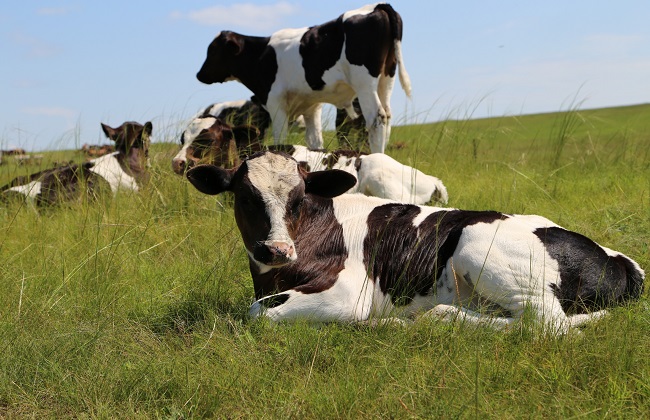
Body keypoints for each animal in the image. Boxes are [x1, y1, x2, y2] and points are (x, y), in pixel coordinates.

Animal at [185, 151, 644, 334]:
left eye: (299, 198)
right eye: (244, 196)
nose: (276, 250)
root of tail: (619, 259)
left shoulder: (347, 293)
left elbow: (256, 314)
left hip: (479, 243)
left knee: (549, 325)